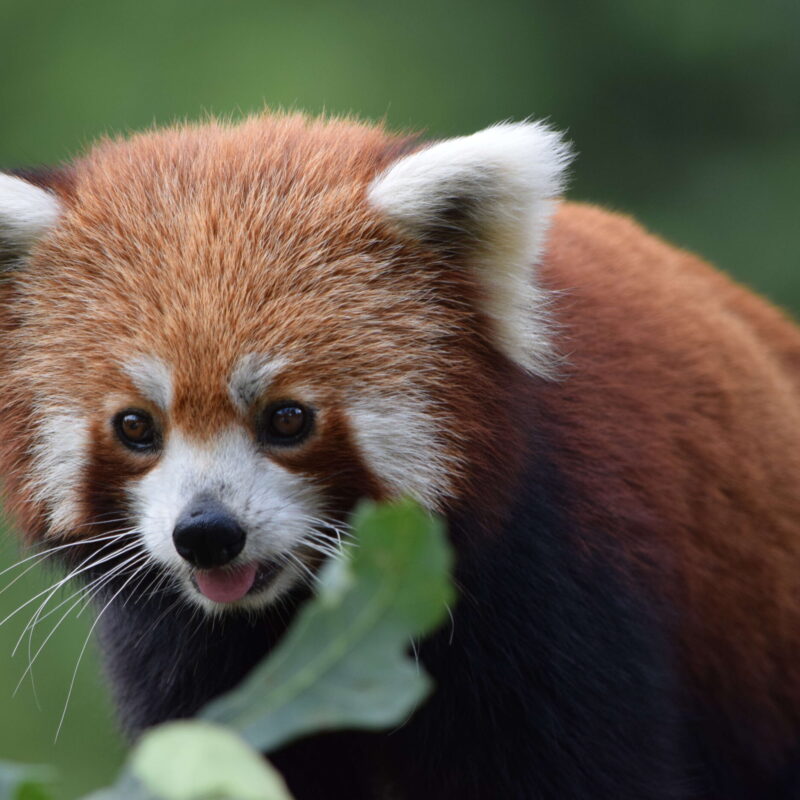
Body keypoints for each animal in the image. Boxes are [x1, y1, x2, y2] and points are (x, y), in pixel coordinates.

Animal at [1, 114, 800, 800]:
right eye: (137, 427)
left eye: (287, 418)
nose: (207, 533)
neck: (311, 617)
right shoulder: (193, 663)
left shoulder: (571, 590)